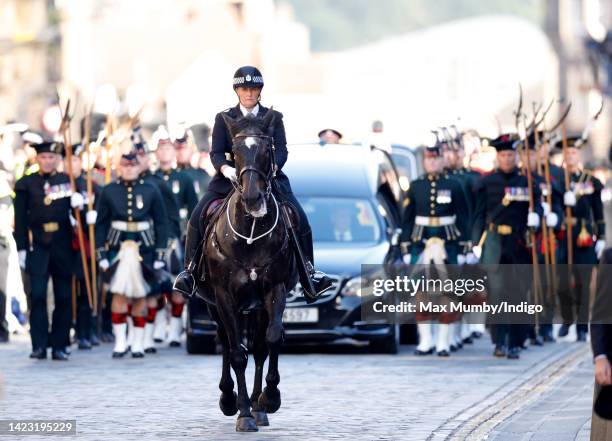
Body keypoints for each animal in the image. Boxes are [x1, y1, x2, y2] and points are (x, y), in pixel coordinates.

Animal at [197, 109, 298, 430]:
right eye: (236, 150)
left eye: (267, 149)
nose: (253, 199)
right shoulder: (224, 297)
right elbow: (236, 354)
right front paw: (242, 412)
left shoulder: (274, 290)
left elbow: (271, 339)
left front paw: (268, 399)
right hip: (214, 305)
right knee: (227, 343)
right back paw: (229, 399)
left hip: (255, 307)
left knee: (258, 347)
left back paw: (258, 405)